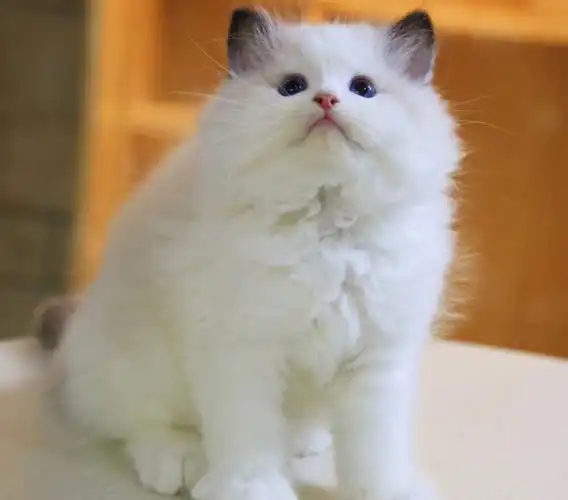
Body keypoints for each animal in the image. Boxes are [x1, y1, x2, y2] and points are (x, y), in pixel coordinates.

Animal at [46, 7, 460, 500]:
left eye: (363, 88)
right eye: (292, 86)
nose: (326, 100)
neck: (325, 227)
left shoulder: (378, 356)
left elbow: (375, 450)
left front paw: (387, 489)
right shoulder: (241, 347)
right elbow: (247, 437)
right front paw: (252, 488)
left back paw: (303, 441)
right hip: (134, 365)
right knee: (136, 422)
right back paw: (176, 462)